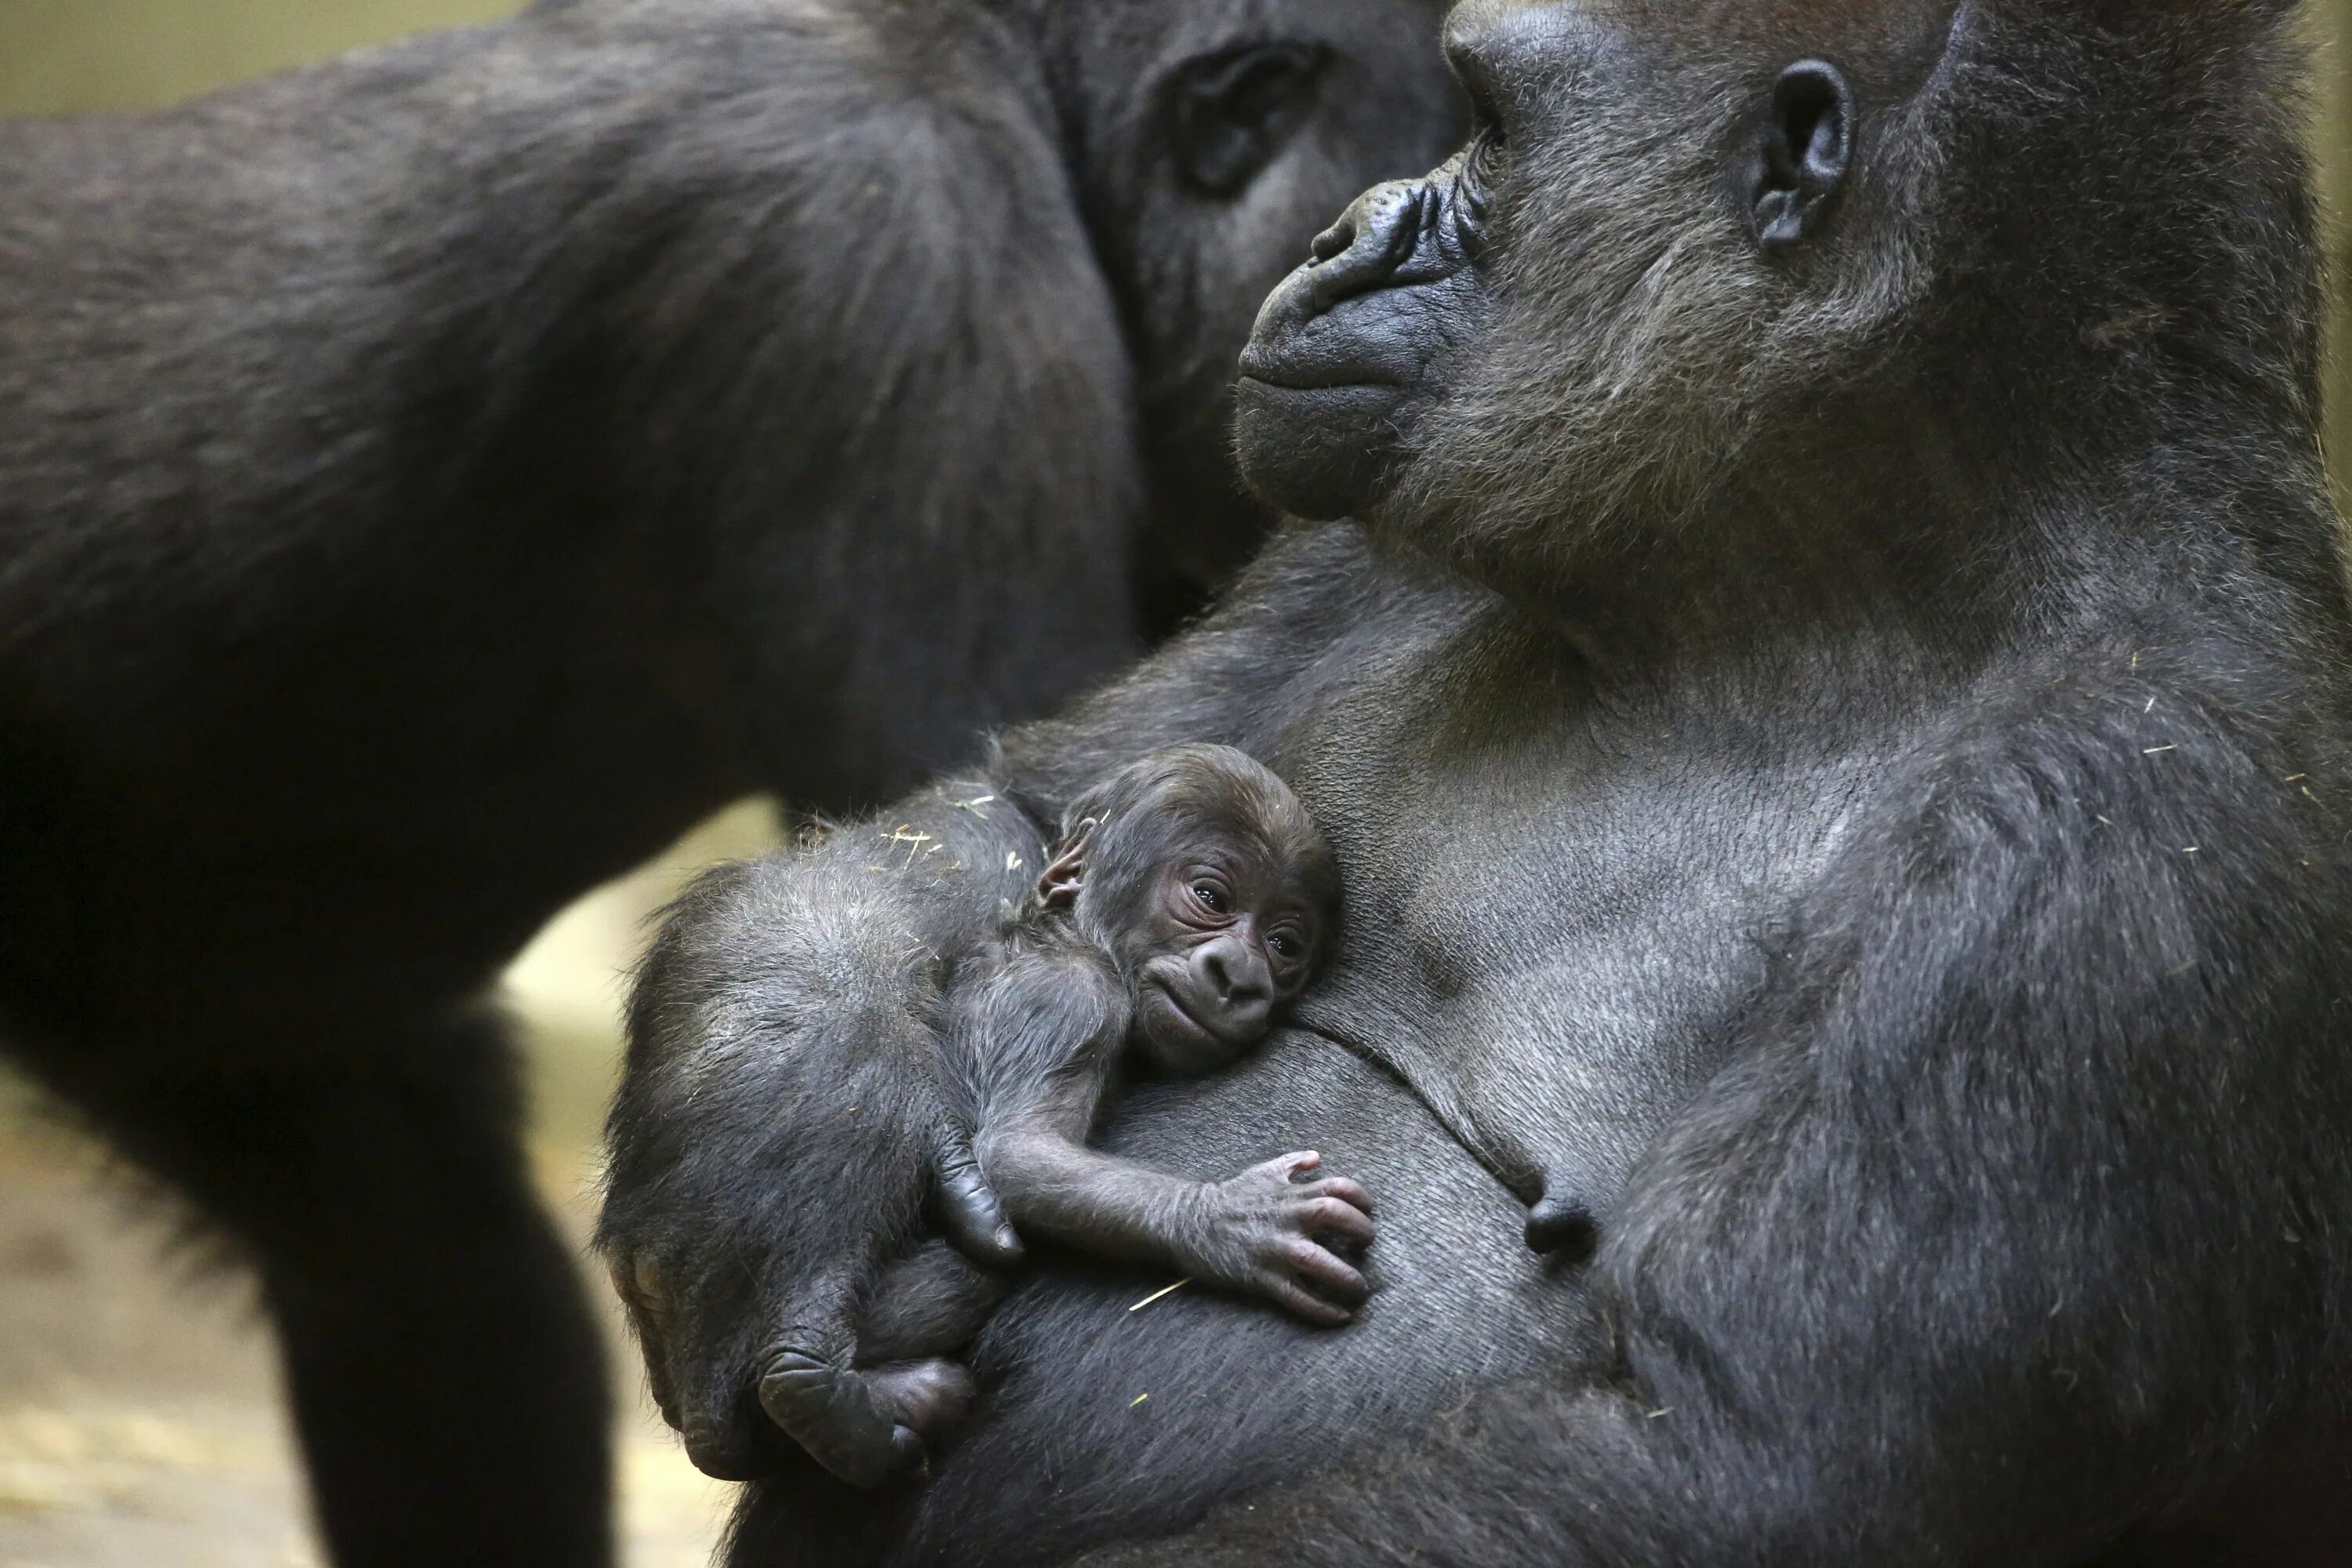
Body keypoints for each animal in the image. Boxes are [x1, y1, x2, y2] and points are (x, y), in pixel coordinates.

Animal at [762, 747, 1374, 1486]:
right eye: (1210, 900)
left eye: (1284, 945)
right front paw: (1229, 1224)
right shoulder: (1071, 998)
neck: (1070, 932)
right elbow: (1016, 1155)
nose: (1239, 975)